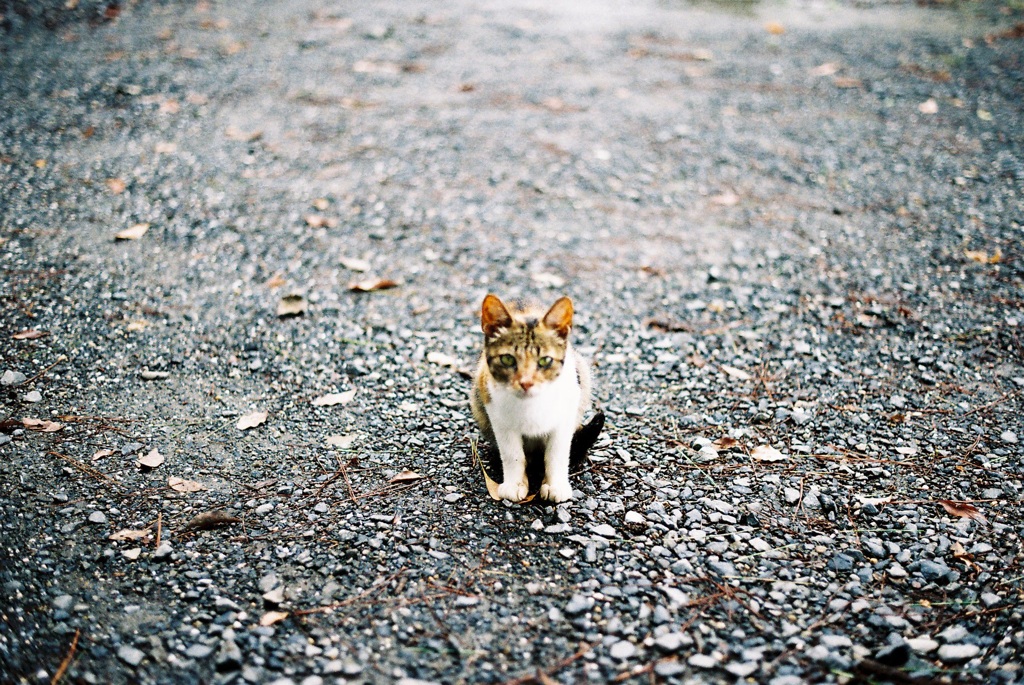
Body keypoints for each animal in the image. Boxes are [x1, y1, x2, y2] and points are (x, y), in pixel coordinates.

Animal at [468, 294, 598, 501]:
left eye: (545, 360)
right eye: (507, 359)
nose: (526, 383)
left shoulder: (568, 409)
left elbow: (557, 452)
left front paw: (555, 485)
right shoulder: (495, 409)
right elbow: (512, 453)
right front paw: (515, 484)